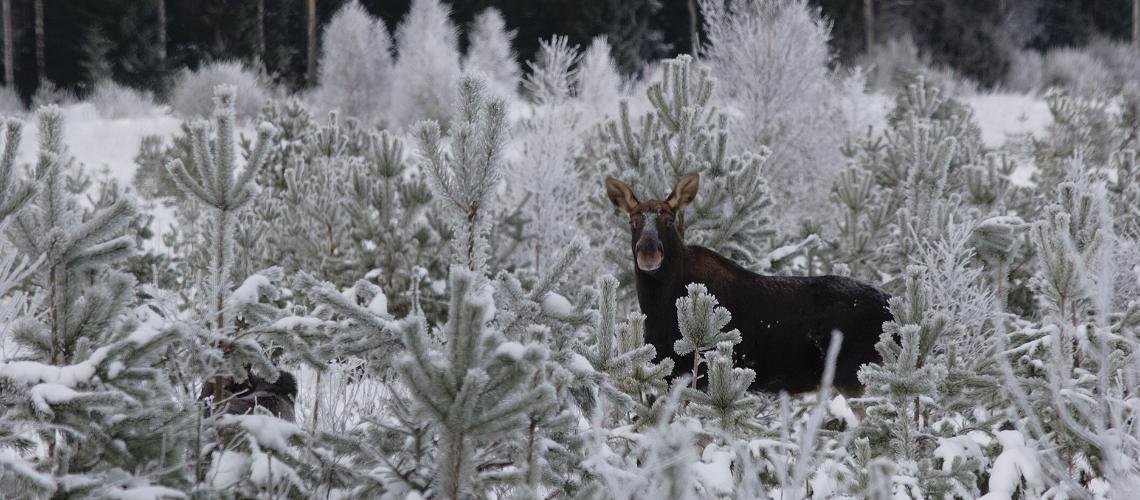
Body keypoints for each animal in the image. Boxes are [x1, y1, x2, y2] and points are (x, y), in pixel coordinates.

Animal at [605, 173, 891, 396]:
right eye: (632, 221)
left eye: (669, 220)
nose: (648, 253)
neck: (658, 305)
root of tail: (891, 304)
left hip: (855, 375)